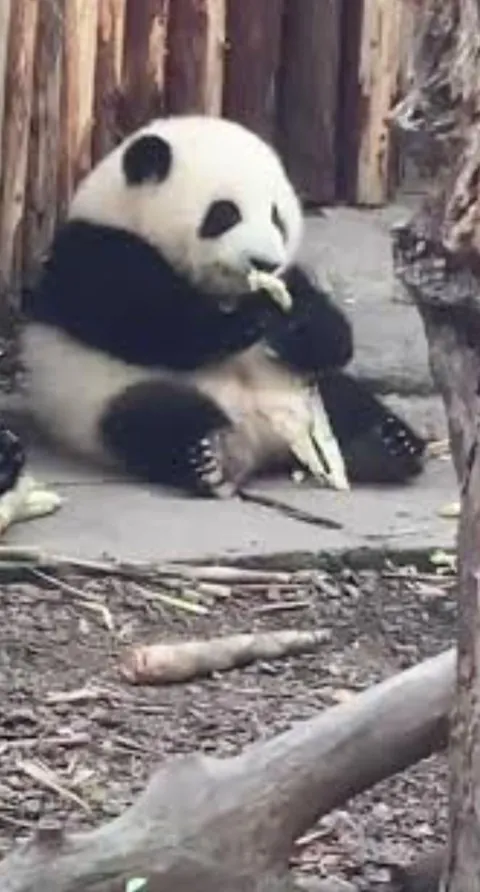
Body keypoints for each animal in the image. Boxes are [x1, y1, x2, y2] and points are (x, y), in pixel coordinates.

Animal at [21, 114, 426, 498]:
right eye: (225, 213)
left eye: (276, 217)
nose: (265, 262)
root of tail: (262, 442)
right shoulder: (94, 254)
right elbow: (153, 325)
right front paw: (251, 318)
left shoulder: (291, 276)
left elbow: (329, 335)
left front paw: (293, 324)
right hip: (97, 396)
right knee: (153, 418)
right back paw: (209, 456)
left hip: (304, 391)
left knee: (343, 396)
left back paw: (389, 444)